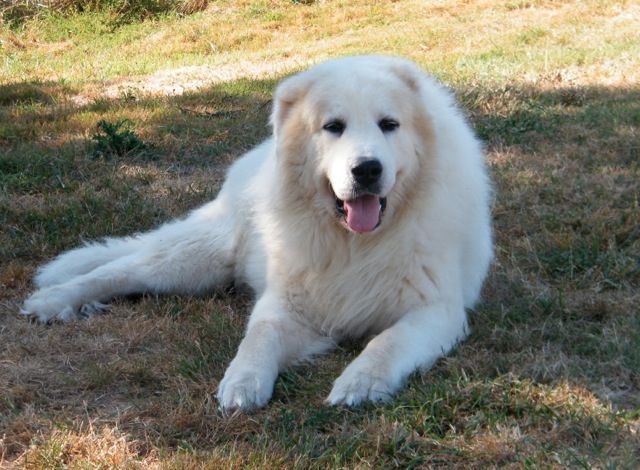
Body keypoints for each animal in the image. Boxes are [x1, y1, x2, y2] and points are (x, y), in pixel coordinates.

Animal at [20, 54, 492, 408]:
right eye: (333, 126)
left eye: (389, 125)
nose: (367, 169)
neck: (353, 243)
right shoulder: (285, 302)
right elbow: (258, 337)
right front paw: (242, 383)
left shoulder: (435, 311)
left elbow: (386, 343)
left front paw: (359, 383)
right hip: (196, 260)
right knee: (119, 271)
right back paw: (54, 299)